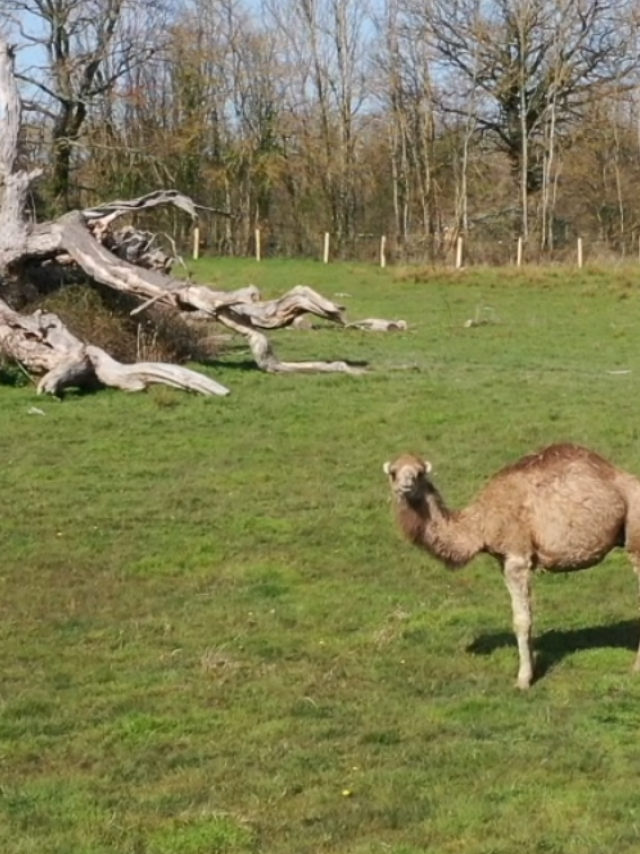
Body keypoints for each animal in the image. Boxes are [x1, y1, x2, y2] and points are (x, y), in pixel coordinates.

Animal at [382, 444, 640, 692]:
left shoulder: (517, 557)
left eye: (419, 473)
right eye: (393, 472)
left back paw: (635, 669)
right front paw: (532, 668)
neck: (479, 524)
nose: (405, 486)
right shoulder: (502, 559)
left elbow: (521, 620)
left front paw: (523, 680)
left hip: (635, 536)